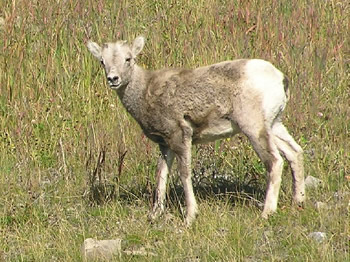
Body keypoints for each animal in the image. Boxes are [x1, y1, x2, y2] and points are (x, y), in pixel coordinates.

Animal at [87, 35, 304, 225]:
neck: (145, 92)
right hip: (274, 125)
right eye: (102, 61)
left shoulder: (180, 137)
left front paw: (190, 216)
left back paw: (267, 213)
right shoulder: (165, 144)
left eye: (128, 58)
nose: (113, 79)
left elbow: (184, 173)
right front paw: (155, 215)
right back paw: (298, 203)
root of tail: (281, 79)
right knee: (295, 152)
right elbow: (161, 175)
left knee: (274, 161)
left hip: (254, 128)